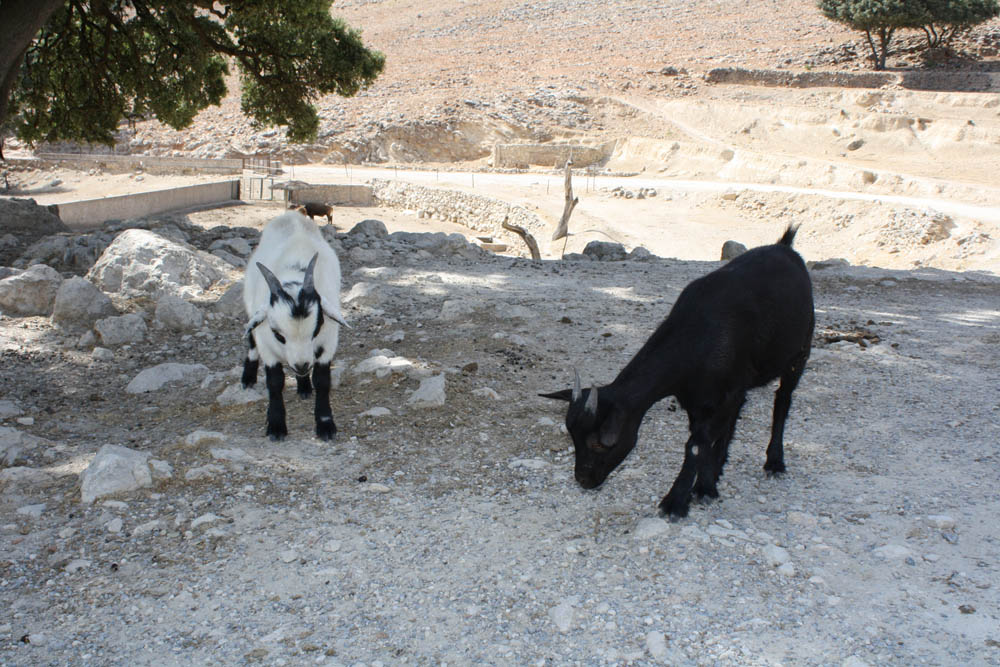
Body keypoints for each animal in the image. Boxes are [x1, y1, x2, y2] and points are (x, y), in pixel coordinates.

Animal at [242, 210, 348, 441]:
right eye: (278, 334)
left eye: (316, 329)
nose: (301, 366)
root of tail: (291, 215)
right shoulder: (267, 344)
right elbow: (275, 382)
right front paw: (276, 425)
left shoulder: (328, 341)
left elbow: (322, 380)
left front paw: (325, 424)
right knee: (251, 342)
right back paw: (248, 377)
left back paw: (304, 386)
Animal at [542, 225, 814, 519]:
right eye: (573, 437)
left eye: (600, 443)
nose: (583, 480)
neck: (698, 338)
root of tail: (785, 246)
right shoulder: (698, 400)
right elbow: (703, 440)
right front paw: (705, 486)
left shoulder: (723, 393)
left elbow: (695, 444)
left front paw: (677, 501)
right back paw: (719, 467)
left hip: (800, 351)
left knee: (782, 400)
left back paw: (774, 462)